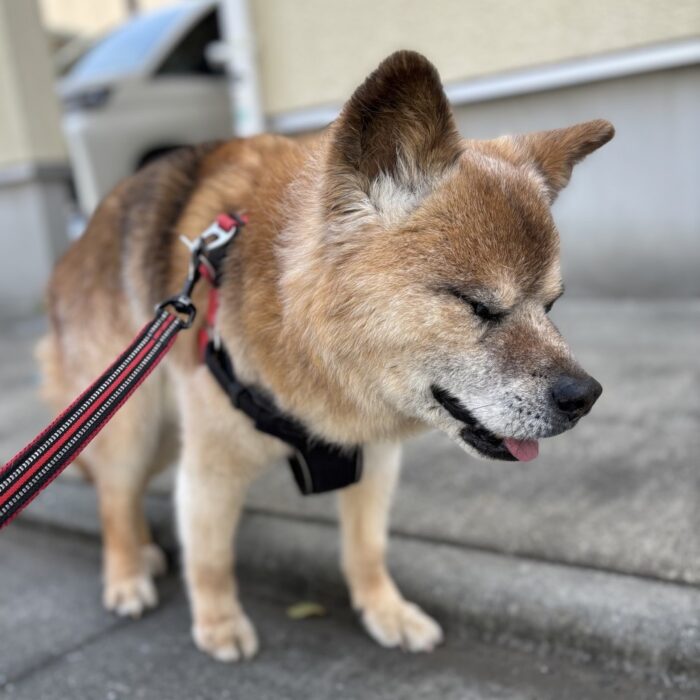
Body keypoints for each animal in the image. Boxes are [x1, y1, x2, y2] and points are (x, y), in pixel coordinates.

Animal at [39, 52, 612, 660]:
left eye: (552, 305)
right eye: (477, 305)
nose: (586, 397)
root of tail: (74, 248)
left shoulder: (374, 459)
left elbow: (366, 549)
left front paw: (386, 611)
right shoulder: (212, 465)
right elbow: (211, 557)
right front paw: (219, 623)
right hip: (131, 421)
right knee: (115, 498)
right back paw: (127, 572)